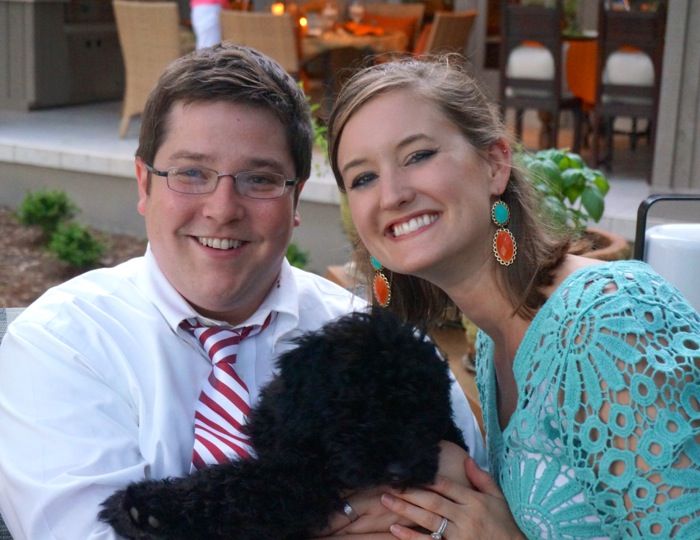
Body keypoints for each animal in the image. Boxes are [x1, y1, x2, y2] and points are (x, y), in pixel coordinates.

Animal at [98, 308, 468, 540]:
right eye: (360, 403)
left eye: (426, 414)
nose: (400, 470)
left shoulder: (302, 482)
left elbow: (240, 487)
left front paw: (146, 509)